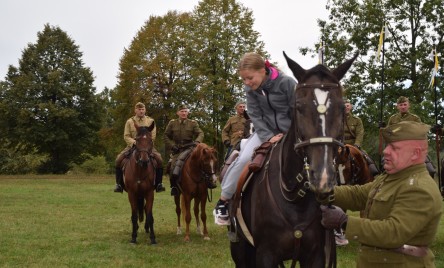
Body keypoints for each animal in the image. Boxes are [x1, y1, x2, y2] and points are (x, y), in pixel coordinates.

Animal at [227, 51, 360, 266]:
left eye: (342, 107)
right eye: (298, 106)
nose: (322, 177)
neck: (295, 200)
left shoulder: (315, 255)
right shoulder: (265, 254)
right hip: (240, 249)